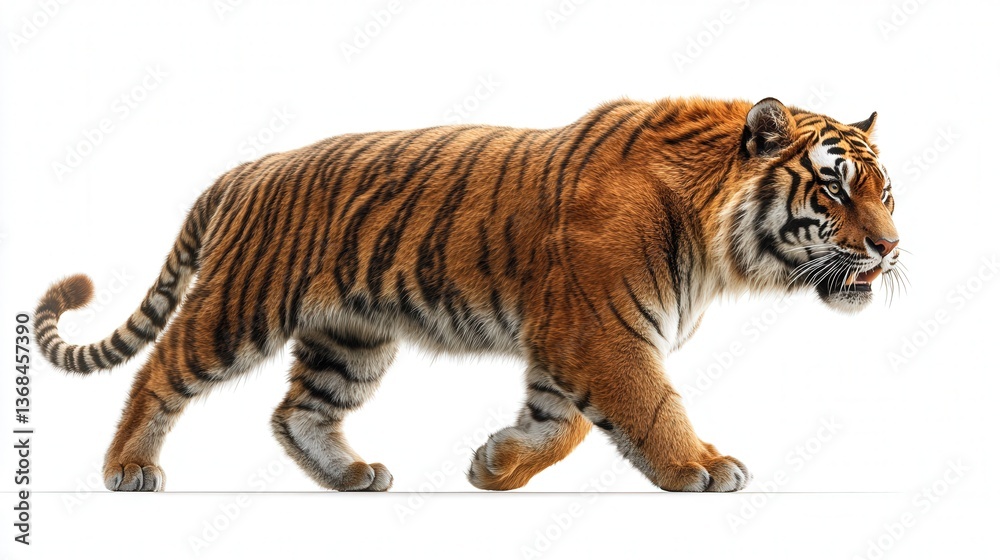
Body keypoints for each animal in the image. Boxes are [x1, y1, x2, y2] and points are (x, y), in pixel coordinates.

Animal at [34, 96, 902, 493]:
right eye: (834, 188)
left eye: (885, 192)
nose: (891, 250)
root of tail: (247, 168)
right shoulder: (605, 332)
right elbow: (651, 406)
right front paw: (702, 466)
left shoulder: (569, 337)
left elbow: (562, 423)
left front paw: (496, 465)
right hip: (238, 308)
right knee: (160, 371)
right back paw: (128, 469)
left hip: (351, 338)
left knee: (296, 411)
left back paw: (351, 476)